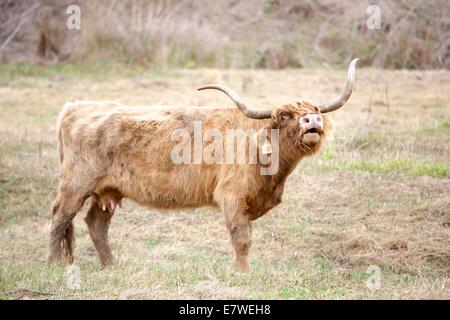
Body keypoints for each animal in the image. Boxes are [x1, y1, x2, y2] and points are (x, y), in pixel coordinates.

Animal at [50, 58, 358, 270]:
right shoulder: (231, 195)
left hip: (108, 190)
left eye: (315, 110)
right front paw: (243, 273)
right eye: (283, 116)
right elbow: (242, 238)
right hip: (76, 184)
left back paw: (111, 265)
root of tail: (74, 107)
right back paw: (55, 263)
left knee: (96, 223)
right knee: (60, 218)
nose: (311, 120)